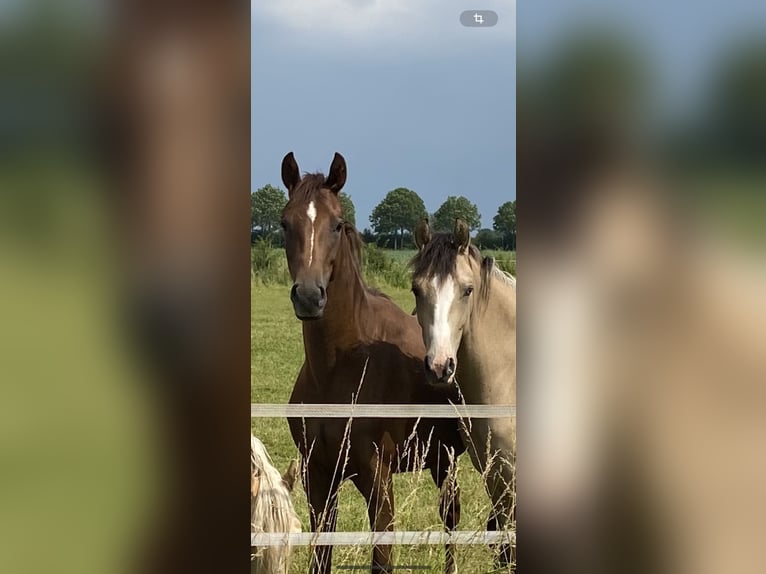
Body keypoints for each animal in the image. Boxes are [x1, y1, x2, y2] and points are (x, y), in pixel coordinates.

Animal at [282, 151, 468, 572]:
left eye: (337, 224)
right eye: (285, 222)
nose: (309, 296)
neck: (339, 368)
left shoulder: (377, 478)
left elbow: (382, 558)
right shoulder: (318, 477)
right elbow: (321, 555)